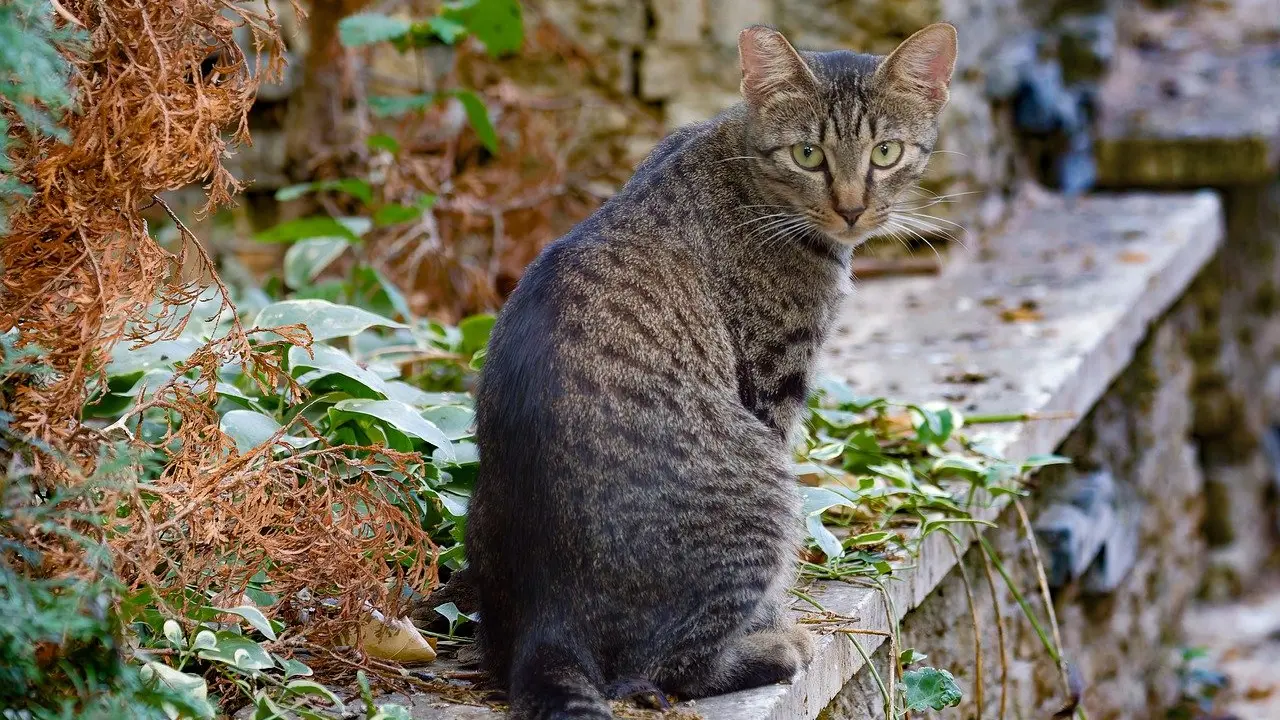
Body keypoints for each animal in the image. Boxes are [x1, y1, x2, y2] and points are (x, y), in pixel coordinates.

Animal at [445, 22, 957, 717]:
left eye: (886, 152)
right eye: (807, 154)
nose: (852, 208)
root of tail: (547, 624)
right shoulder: (772, 382)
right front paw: (777, 621)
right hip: (764, 489)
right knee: (672, 670)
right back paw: (772, 647)